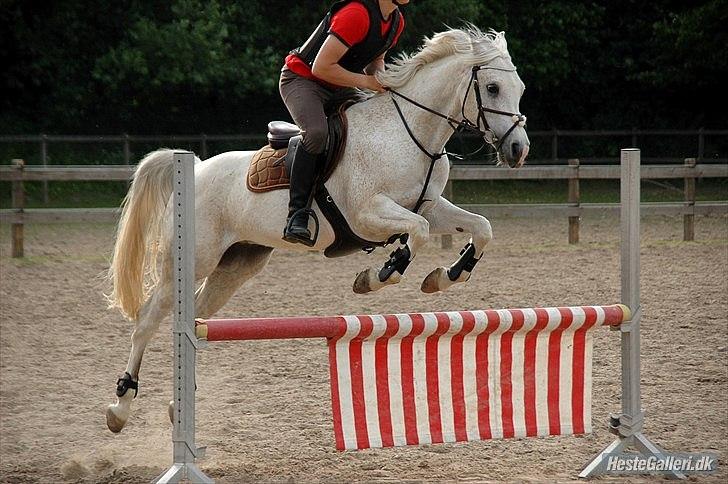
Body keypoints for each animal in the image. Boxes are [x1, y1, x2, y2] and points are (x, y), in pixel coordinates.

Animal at [105, 28, 528, 432]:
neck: (410, 135)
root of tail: (194, 169)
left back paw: (177, 405)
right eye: (492, 88)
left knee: (196, 321)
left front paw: (446, 275)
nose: (518, 150)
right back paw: (120, 407)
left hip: (238, 264)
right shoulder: (368, 215)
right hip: (190, 260)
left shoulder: (430, 206)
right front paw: (380, 275)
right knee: (147, 320)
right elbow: (418, 233)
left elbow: (481, 228)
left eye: (520, 89)